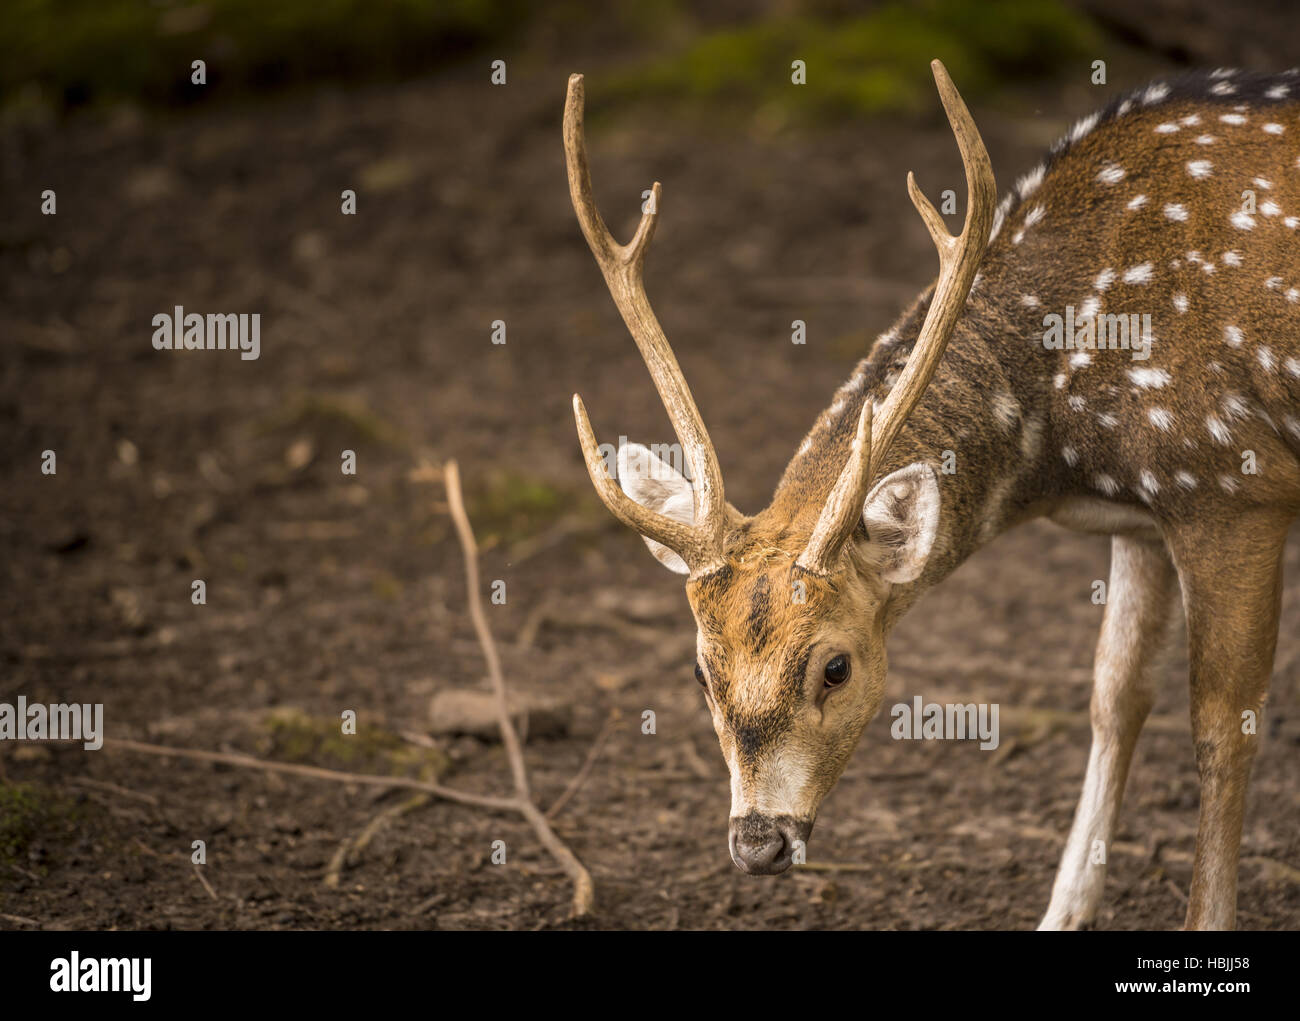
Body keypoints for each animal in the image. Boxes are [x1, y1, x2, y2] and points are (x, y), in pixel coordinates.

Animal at [561, 61, 1300, 930]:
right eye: (699, 671)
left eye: (837, 666)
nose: (758, 843)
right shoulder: (1143, 520)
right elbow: (1114, 696)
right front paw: (1060, 913)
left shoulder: (1233, 484)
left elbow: (1223, 728)